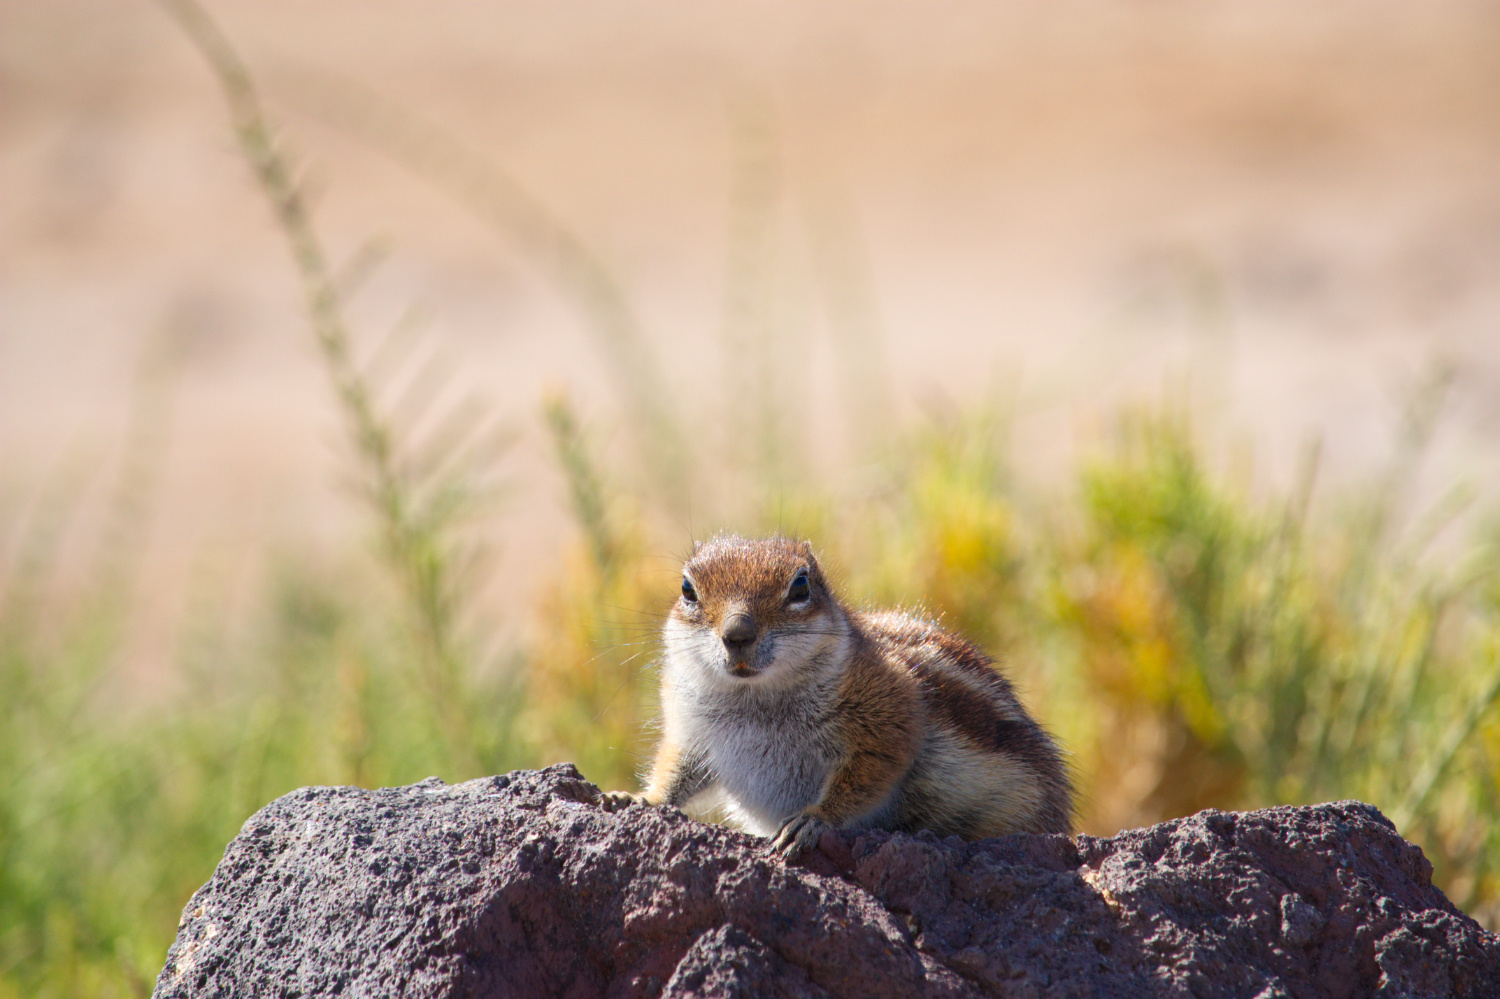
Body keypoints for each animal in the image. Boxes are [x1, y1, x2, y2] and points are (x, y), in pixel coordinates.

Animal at [600, 534, 1080, 852]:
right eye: (687, 589)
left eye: (800, 587)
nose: (737, 633)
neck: (753, 699)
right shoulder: (690, 730)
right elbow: (676, 770)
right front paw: (636, 797)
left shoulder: (889, 713)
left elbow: (867, 775)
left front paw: (813, 820)